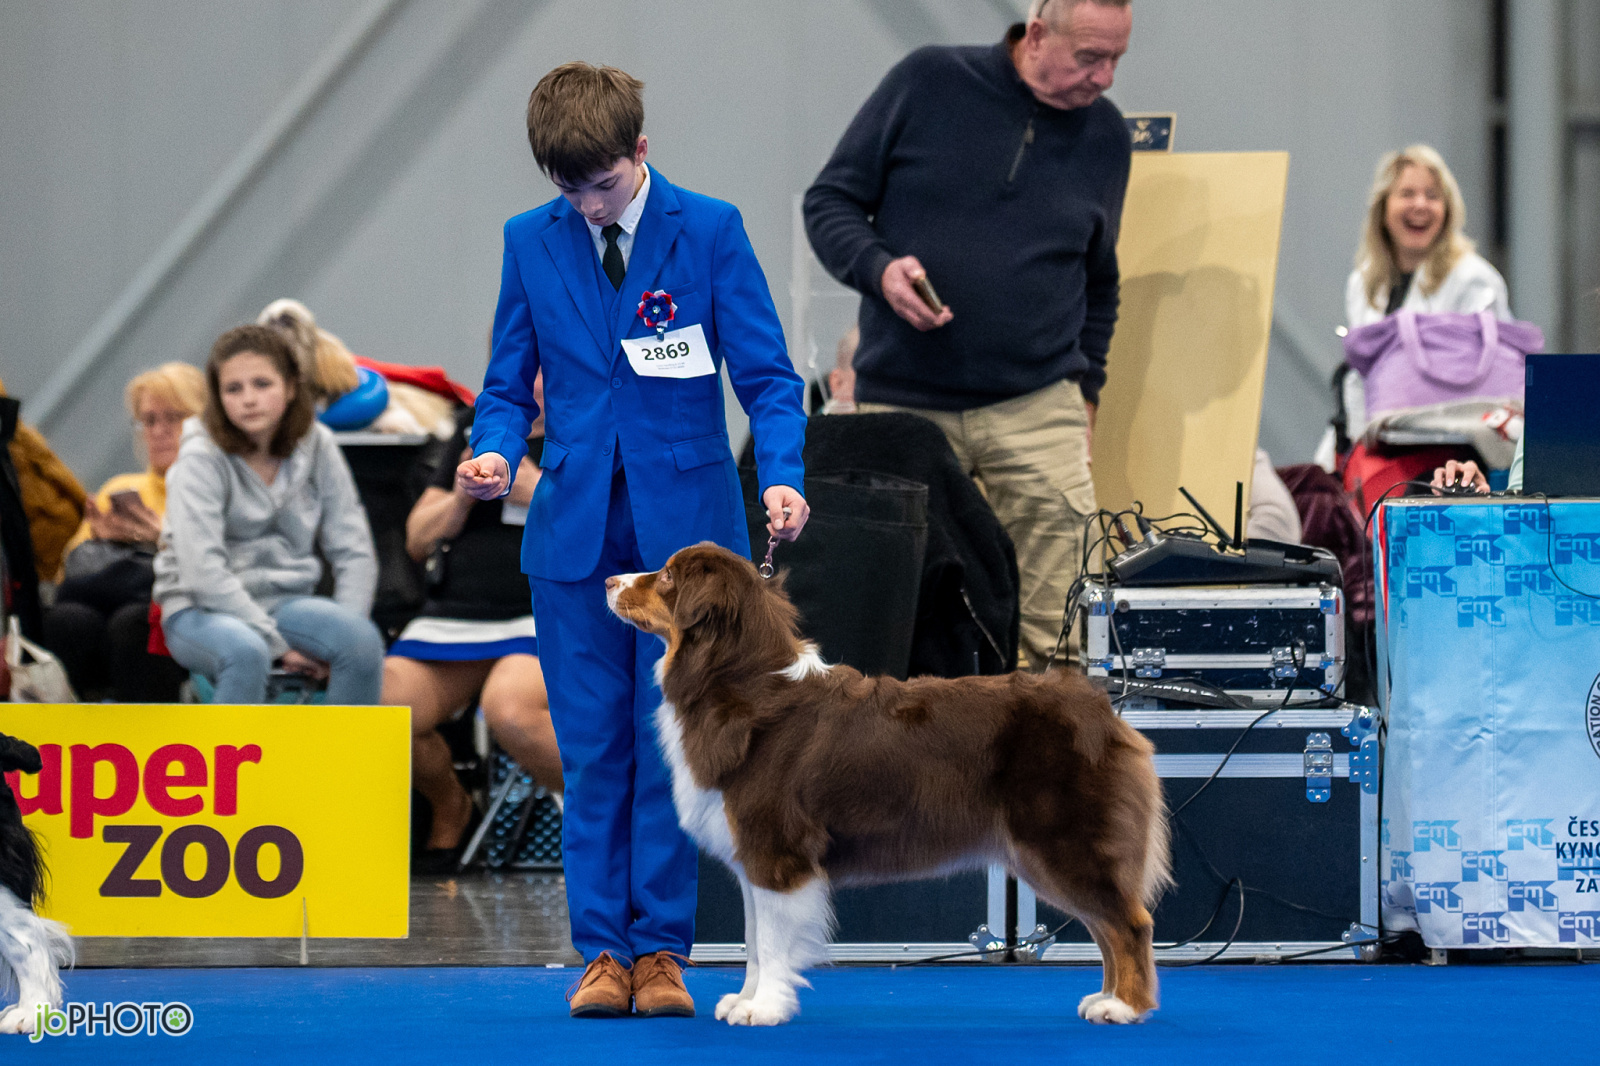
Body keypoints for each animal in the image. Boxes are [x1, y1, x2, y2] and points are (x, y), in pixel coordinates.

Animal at [606, 542, 1171, 1027]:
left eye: (668, 577)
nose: (610, 580)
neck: (735, 678)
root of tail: (1103, 712)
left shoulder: (776, 850)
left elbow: (769, 941)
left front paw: (764, 1008)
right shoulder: (753, 853)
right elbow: (753, 940)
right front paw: (745, 1000)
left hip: (1063, 840)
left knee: (1129, 923)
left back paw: (1125, 1006)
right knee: (1106, 924)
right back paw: (1105, 998)